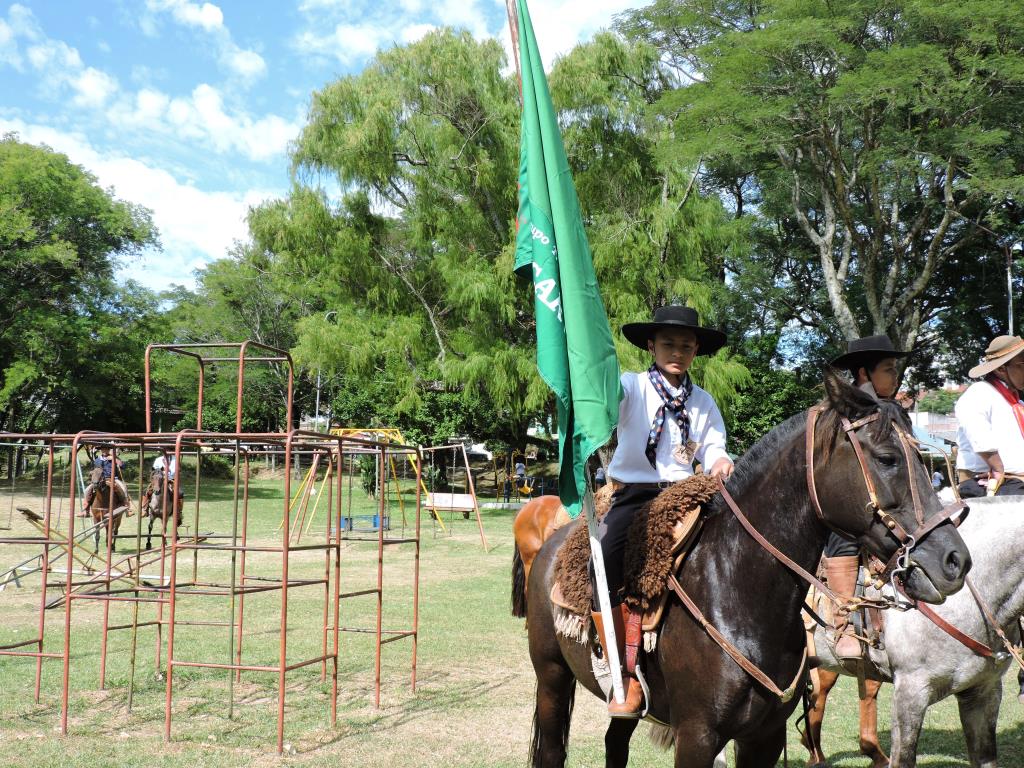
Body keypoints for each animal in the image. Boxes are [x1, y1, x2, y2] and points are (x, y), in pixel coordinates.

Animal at [516, 376, 970, 765]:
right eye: (888, 458)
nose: (955, 560)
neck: (735, 590)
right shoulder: (697, 735)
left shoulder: (763, 736)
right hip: (551, 676)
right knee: (552, 749)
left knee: (615, 742)